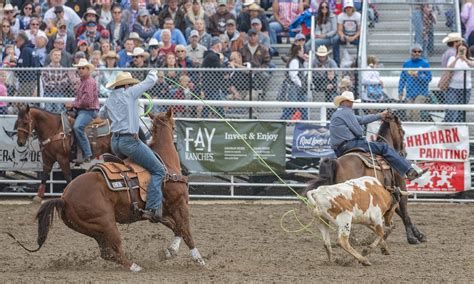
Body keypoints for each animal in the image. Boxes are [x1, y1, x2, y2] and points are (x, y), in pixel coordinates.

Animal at [6, 108, 204, 270]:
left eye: (25, 122)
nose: (21, 141)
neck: (165, 163)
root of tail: (64, 198)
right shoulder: (179, 204)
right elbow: (186, 230)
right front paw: (198, 259)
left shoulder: (161, 211)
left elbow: (176, 228)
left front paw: (171, 250)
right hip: (107, 224)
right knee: (115, 248)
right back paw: (136, 267)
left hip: (94, 229)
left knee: (107, 253)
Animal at [308, 112, 426, 245]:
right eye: (403, 131)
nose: (403, 153)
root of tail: (336, 162)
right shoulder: (401, 186)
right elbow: (405, 212)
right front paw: (413, 237)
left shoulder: (390, 191)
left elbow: (398, 211)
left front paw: (418, 234)